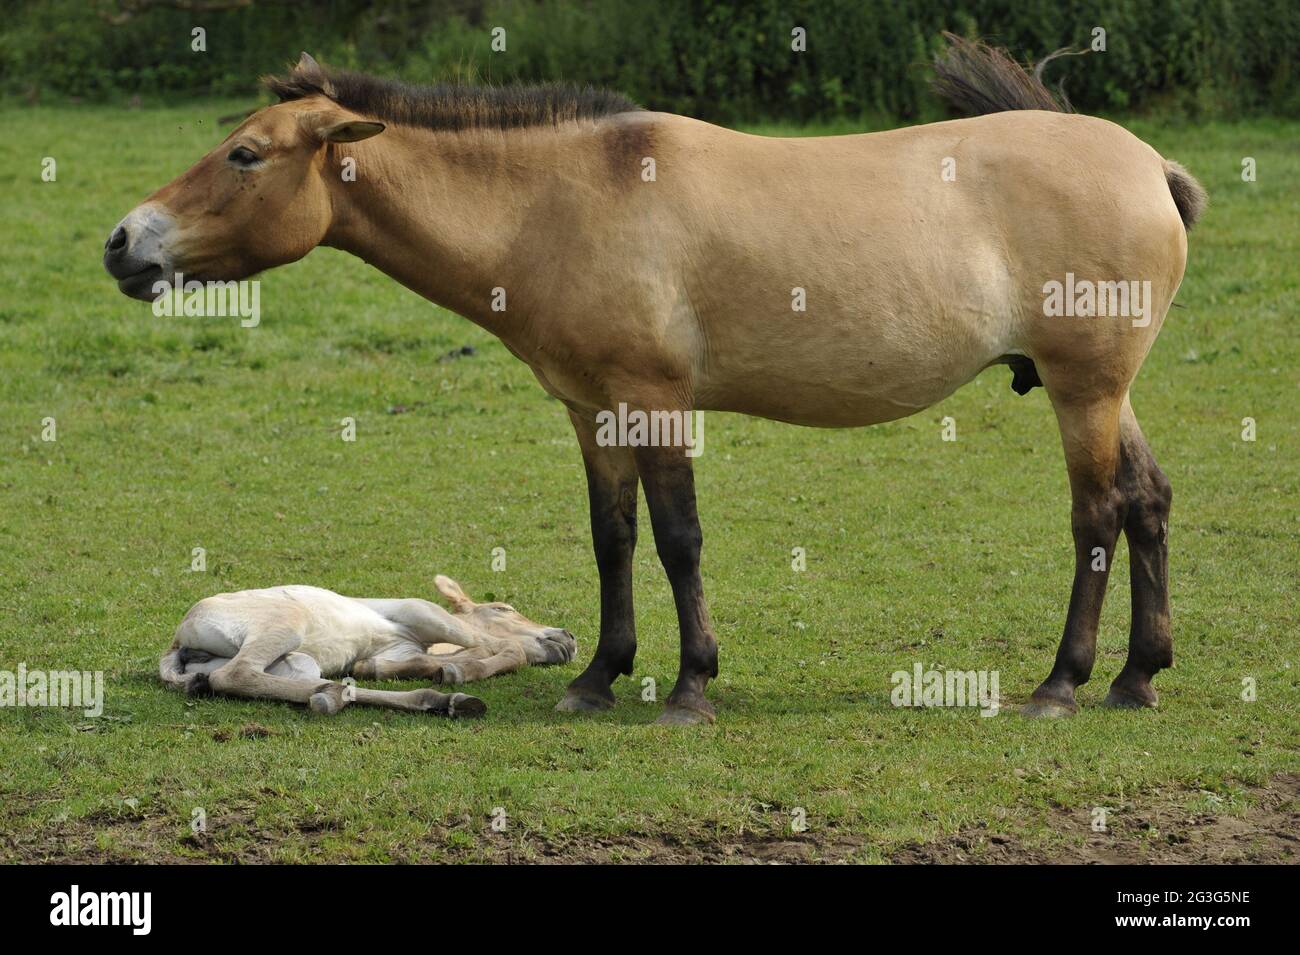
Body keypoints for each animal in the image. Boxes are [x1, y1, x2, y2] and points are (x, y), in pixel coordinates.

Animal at [105, 35, 1204, 725]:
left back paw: (1062, 683)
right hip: (1101, 390)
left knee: (1098, 516)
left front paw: (688, 687)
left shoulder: (658, 403)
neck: (561, 199)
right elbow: (615, 540)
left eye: (245, 154)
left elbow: (678, 540)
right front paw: (598, 674)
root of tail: (1148, 165)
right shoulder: (593, 411)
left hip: (1081, 390)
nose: (124, 242)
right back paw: (1137, 677)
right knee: (1148, 500)